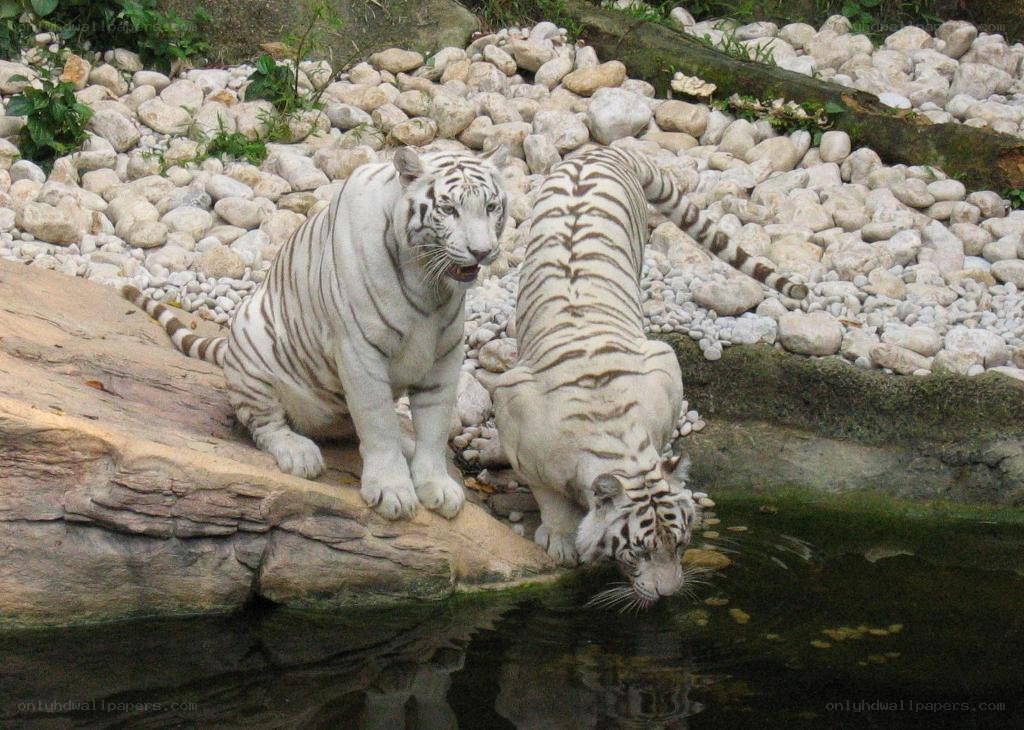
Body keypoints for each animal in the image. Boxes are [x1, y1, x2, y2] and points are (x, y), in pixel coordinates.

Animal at [123, 146, 509, 521]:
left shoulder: (445, 354)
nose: (481, 252)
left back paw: (406, 447)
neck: (430, 284)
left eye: (491, 207)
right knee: (266, 426)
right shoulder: (360, 350)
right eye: (448, 209)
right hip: (252, 343)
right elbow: (378, 421)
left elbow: (435, 424)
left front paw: (436, 485)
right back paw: (300, 454)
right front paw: (392, 491)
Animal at [493, 146, 807, 605]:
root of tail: (602, 150)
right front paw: (562, 538)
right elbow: (548, 495)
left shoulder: (664, 365)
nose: (669, 594)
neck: (614, 436)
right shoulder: (515, 417)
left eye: (680, 543)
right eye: (637, 551)